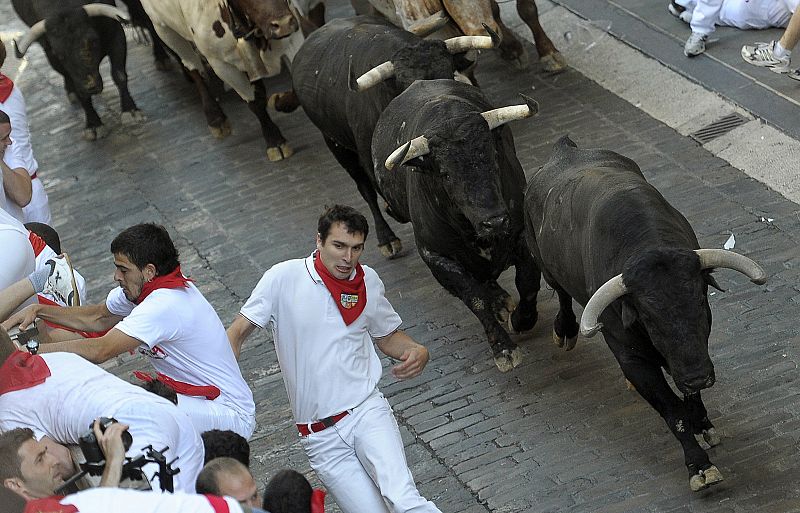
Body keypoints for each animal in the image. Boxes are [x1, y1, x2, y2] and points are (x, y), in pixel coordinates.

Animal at [372, 78, 540, 370]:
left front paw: (522, 319)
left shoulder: (521, 233)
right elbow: (475, 298)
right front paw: (503, 348)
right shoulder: (437, 257)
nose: (495, 221)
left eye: (493, 157)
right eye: (445, 174)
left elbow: (528, 281)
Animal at [524, 136, 768, 492]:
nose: (699, 376)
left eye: (701, 302)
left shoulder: (688, 356)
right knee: (562, 295)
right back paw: (565, 330)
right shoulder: (632, 357)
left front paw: (703, 424)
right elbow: (673, 412)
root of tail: (563, 148)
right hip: (545, 266)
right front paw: (700, 466)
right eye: (648, 316)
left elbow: (687, 396)